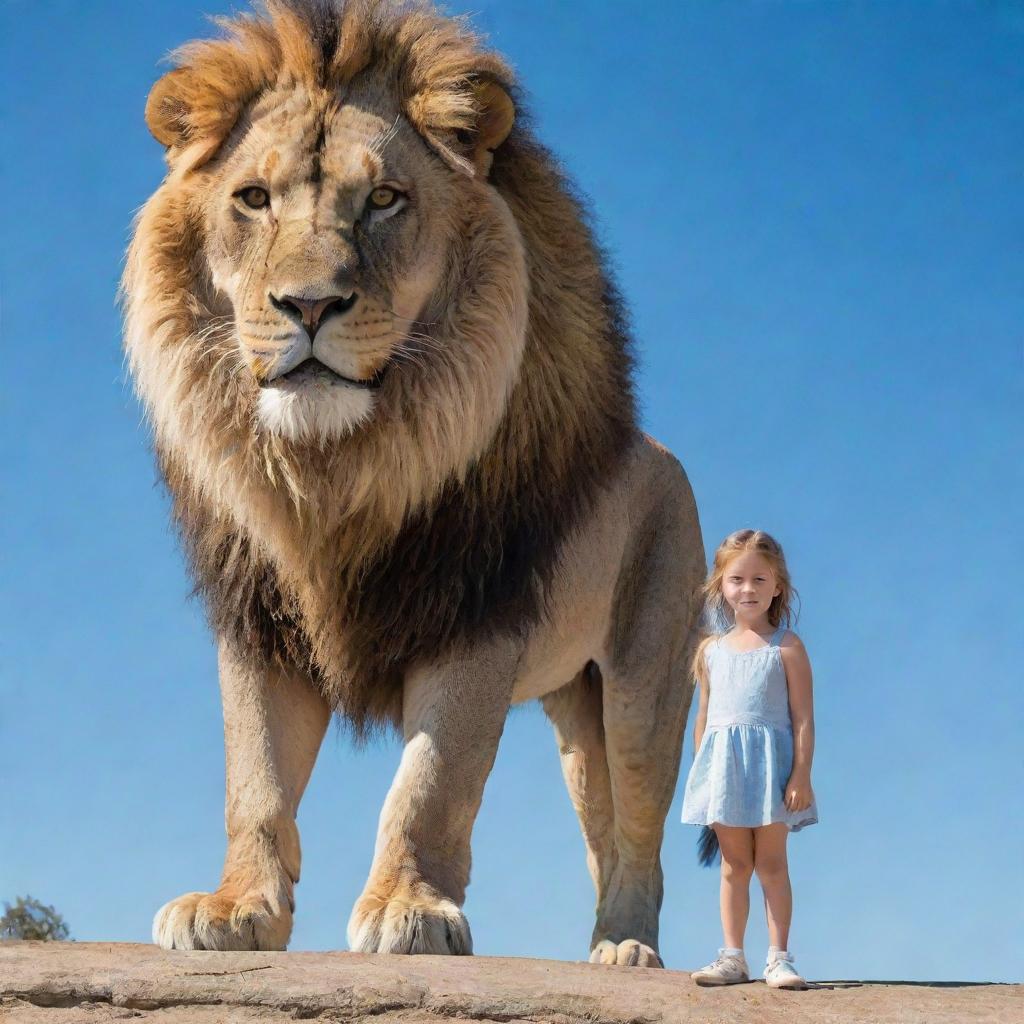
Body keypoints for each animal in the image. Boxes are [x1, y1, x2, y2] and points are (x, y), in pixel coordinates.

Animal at [121, 0, 704, 966]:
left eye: (385, 199)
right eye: (253, 199)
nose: (308, 305)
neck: (336, 473)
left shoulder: (474, 607)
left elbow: (433, 780)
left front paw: (409, 908)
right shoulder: (259, 616)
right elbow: (256, 779)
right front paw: (237, 908)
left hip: (639, 689)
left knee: (639, 831)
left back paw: (627, 949)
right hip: (574, 706)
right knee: (600, 828)